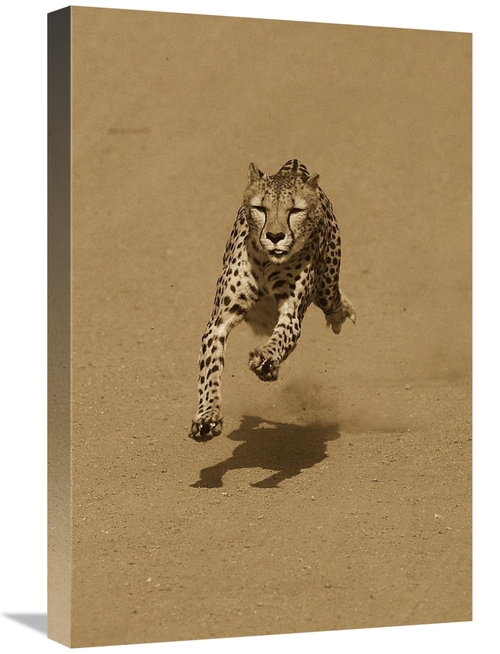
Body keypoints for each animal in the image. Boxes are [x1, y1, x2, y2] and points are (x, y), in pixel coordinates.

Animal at [188, 159, 356, 442]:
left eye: (295, 210)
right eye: (260, 208)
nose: (275, 237)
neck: (268, 262)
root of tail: (293, 164)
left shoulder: (292, 313)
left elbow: (281, 338)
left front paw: (265, 359)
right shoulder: (219, 322)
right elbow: (210, 369)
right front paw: (207, 417)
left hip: (326, 286)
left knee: (333, 300)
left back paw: (341, 313)